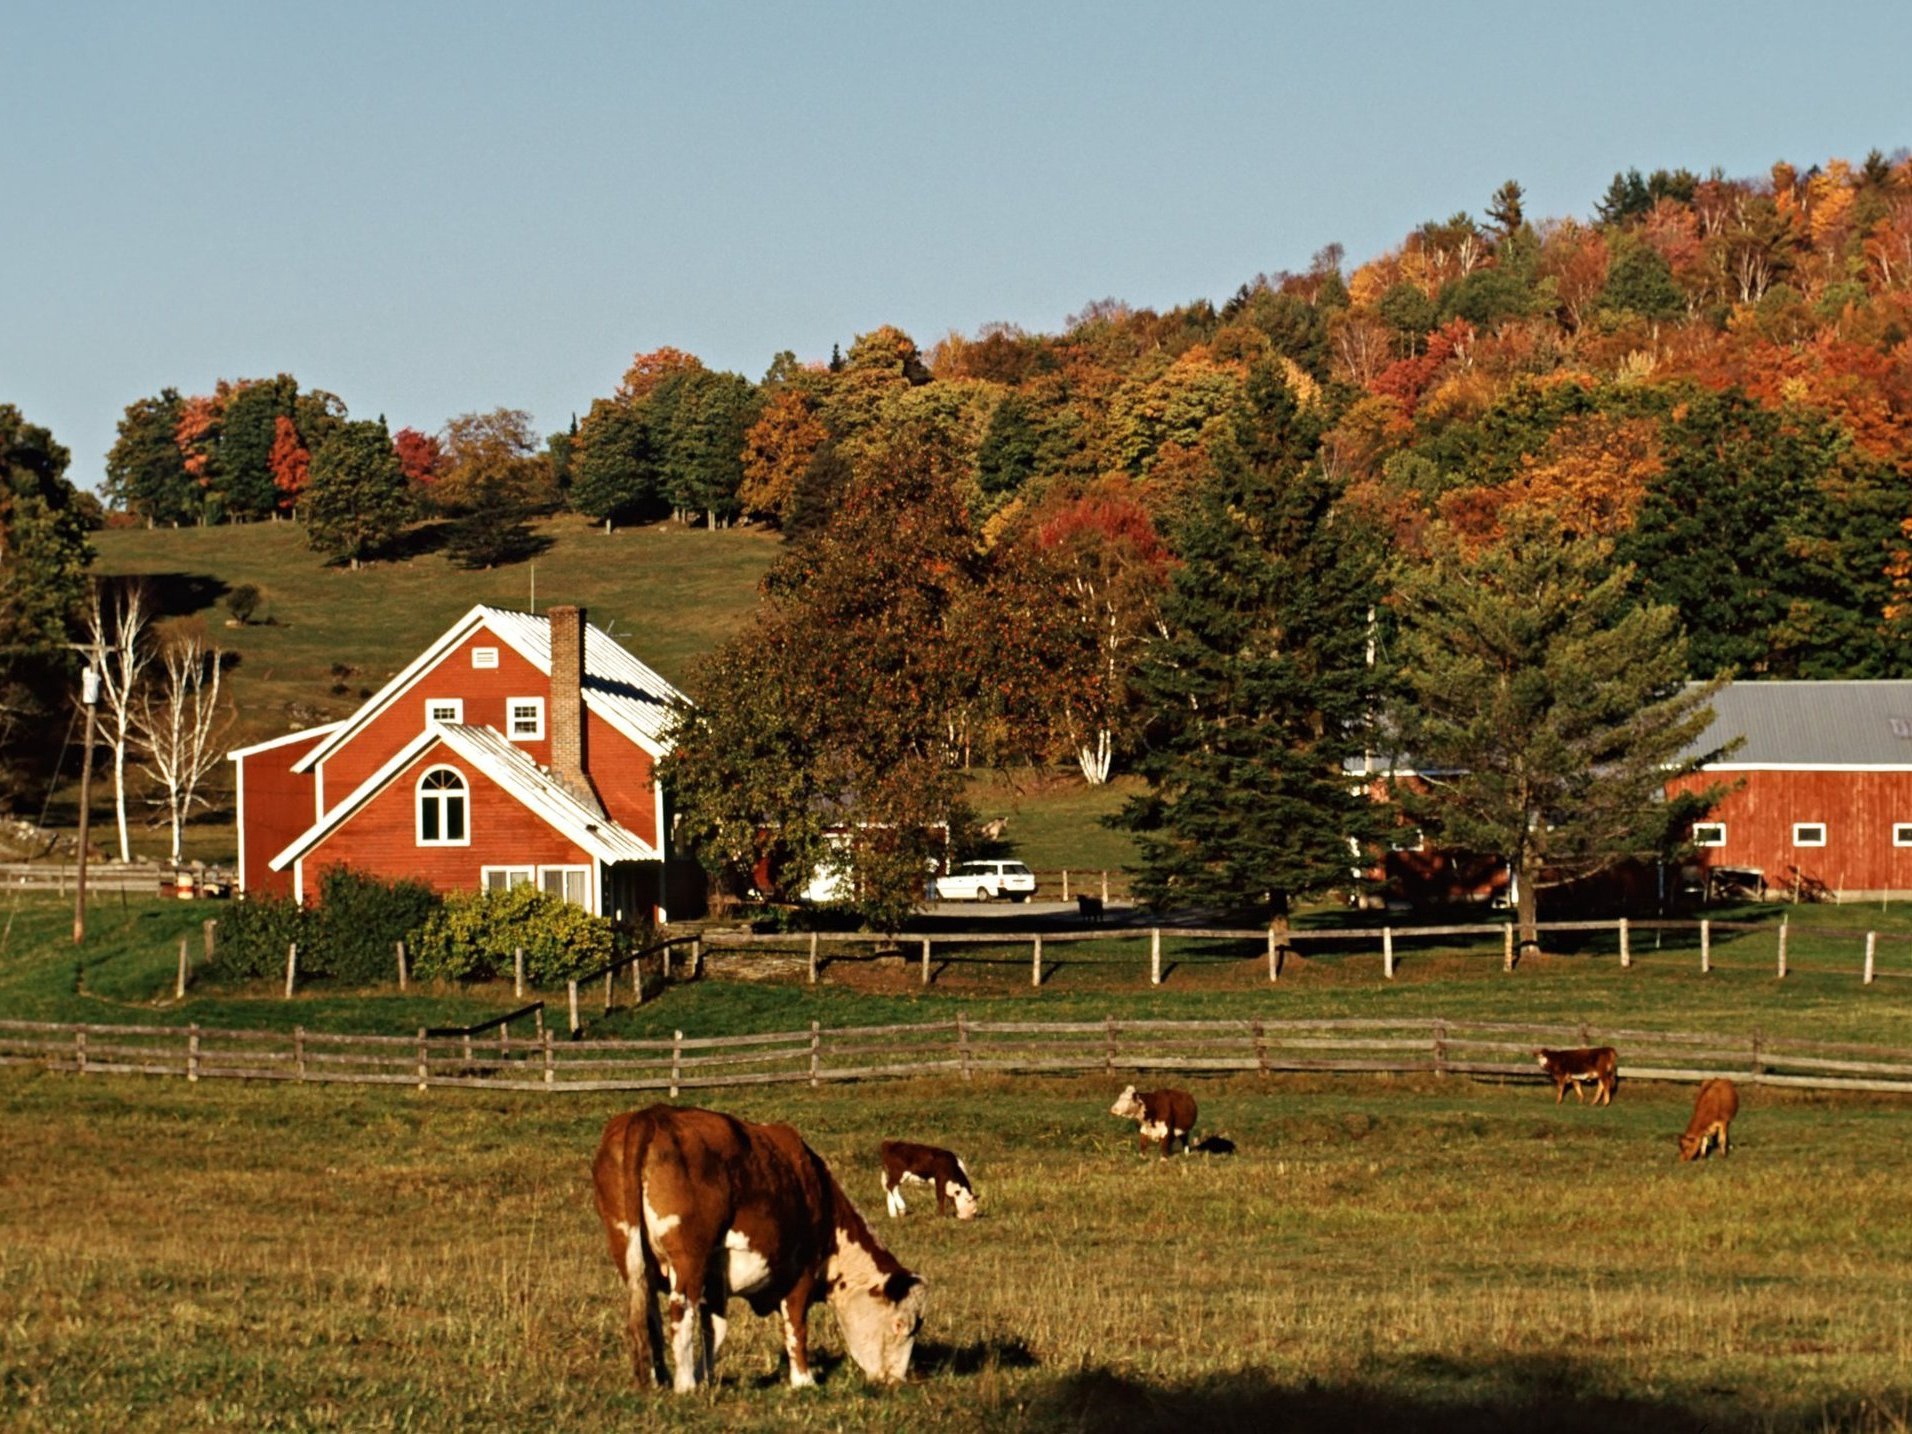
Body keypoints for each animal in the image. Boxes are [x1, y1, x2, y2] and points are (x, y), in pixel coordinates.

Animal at [592, 1108, 929, 1399]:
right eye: (901, 1325)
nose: (897, 1381)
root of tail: (651, 1115)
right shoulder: (801, 1272)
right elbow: (796, 1326)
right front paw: (803, 1380)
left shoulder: (716, 1282)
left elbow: (715, 1330)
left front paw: (707, 1377)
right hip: (689, 1258)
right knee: (680, 1312)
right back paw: (684, 1385)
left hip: (629, 1251)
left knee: (647, 1314)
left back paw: (658, 1379)